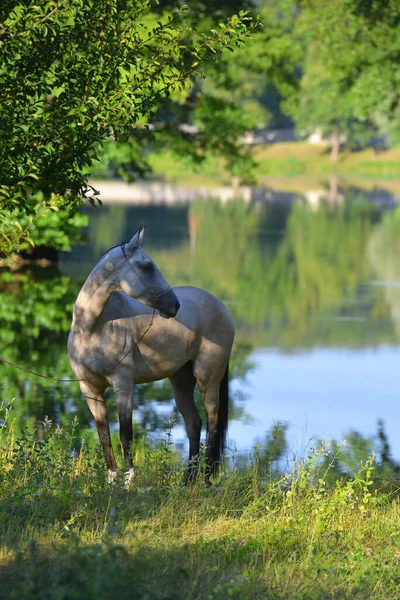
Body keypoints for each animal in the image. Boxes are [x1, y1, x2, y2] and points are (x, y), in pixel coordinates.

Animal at [68, 225, 234, 482]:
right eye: (147, 266)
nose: (174, 305)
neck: (93, 328)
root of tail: (221, 307)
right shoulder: (90, 390)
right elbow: (104, 434)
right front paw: (111, 481)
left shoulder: (123, 384)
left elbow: (125, 434)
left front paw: (129, 482)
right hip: (181, 382)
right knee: (194, 424)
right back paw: (188, 481)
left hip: (208, 380)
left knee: (213, 425)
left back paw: (205, 481)